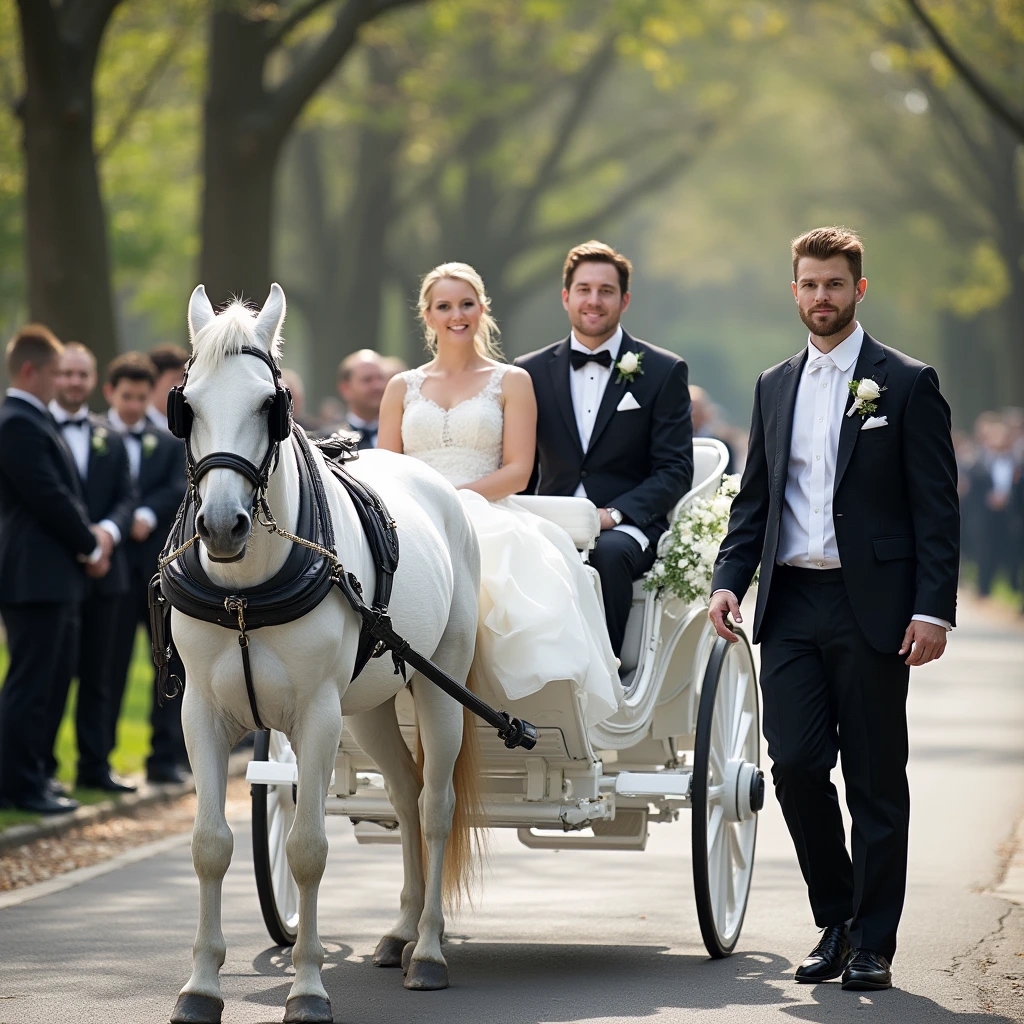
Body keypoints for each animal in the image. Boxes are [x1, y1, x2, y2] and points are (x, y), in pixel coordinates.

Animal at [171, 282, 479, 1024]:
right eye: (186, 404)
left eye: (269, 405)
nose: (221, 526)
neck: (245, 591)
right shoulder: (201, 712)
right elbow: (210, 846)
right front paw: (200, 987)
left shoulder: (315, 714)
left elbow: (308, 849)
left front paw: (307, 987)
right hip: (367, 708)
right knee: (403, 797)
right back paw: (400, 931)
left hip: (439, 686)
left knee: (434, 807)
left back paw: (429, 951)